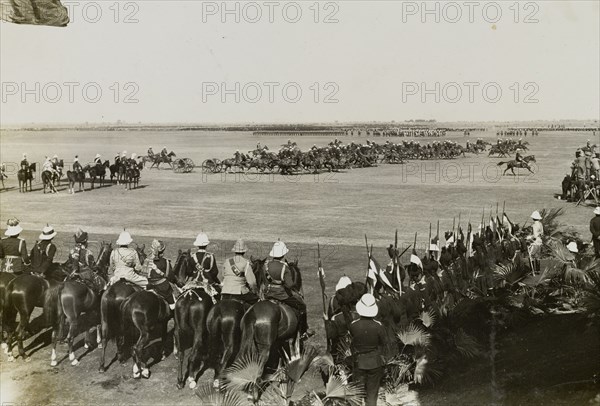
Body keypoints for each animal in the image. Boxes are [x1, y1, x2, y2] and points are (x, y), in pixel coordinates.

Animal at [98, 243, 146, 372]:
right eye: (143, 255)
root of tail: (112, 293)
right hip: (121, 322)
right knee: (120, 338)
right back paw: (121, 358)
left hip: (104, 319)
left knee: (105, 339)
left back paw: (102, 365)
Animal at [173, 251, 216, 390]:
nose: (178, 281)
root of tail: (190, 296)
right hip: (198, 331)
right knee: (191, 356)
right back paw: (191, 379)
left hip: (178, 330)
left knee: (181, 355)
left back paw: (180, 380)